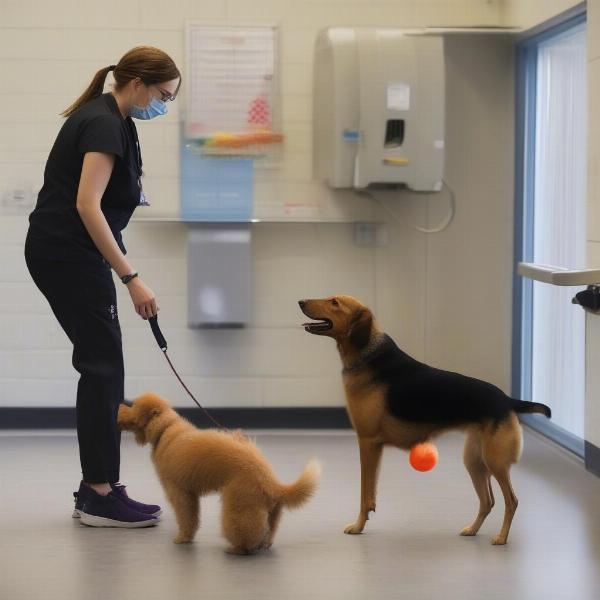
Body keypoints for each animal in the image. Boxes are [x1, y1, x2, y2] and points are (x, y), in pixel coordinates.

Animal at [119, 392, 322, 556]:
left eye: (133, 406)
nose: (120, 405)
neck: (165, 429)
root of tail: (270, 481)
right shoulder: (190, 493)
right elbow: (192, 518)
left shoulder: (180, 492)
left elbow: (186, 518)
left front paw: (183, 538)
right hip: (270, 512)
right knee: (267, 532)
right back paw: (261, 544)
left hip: (239, 505)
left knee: (244, 532)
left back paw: (236, 549)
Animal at [298, 292, 552, 548]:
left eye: (334, 302)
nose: (300, 302)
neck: (367, 355)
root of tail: (507, 400)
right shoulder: (374, 447)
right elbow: (370, 494)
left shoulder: (367, 443)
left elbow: (364, 494)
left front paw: (358, 526)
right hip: (475, 462)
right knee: (487, 501)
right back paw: (472, 529)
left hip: (496, 462)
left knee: (511, 501)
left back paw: (501, 537)